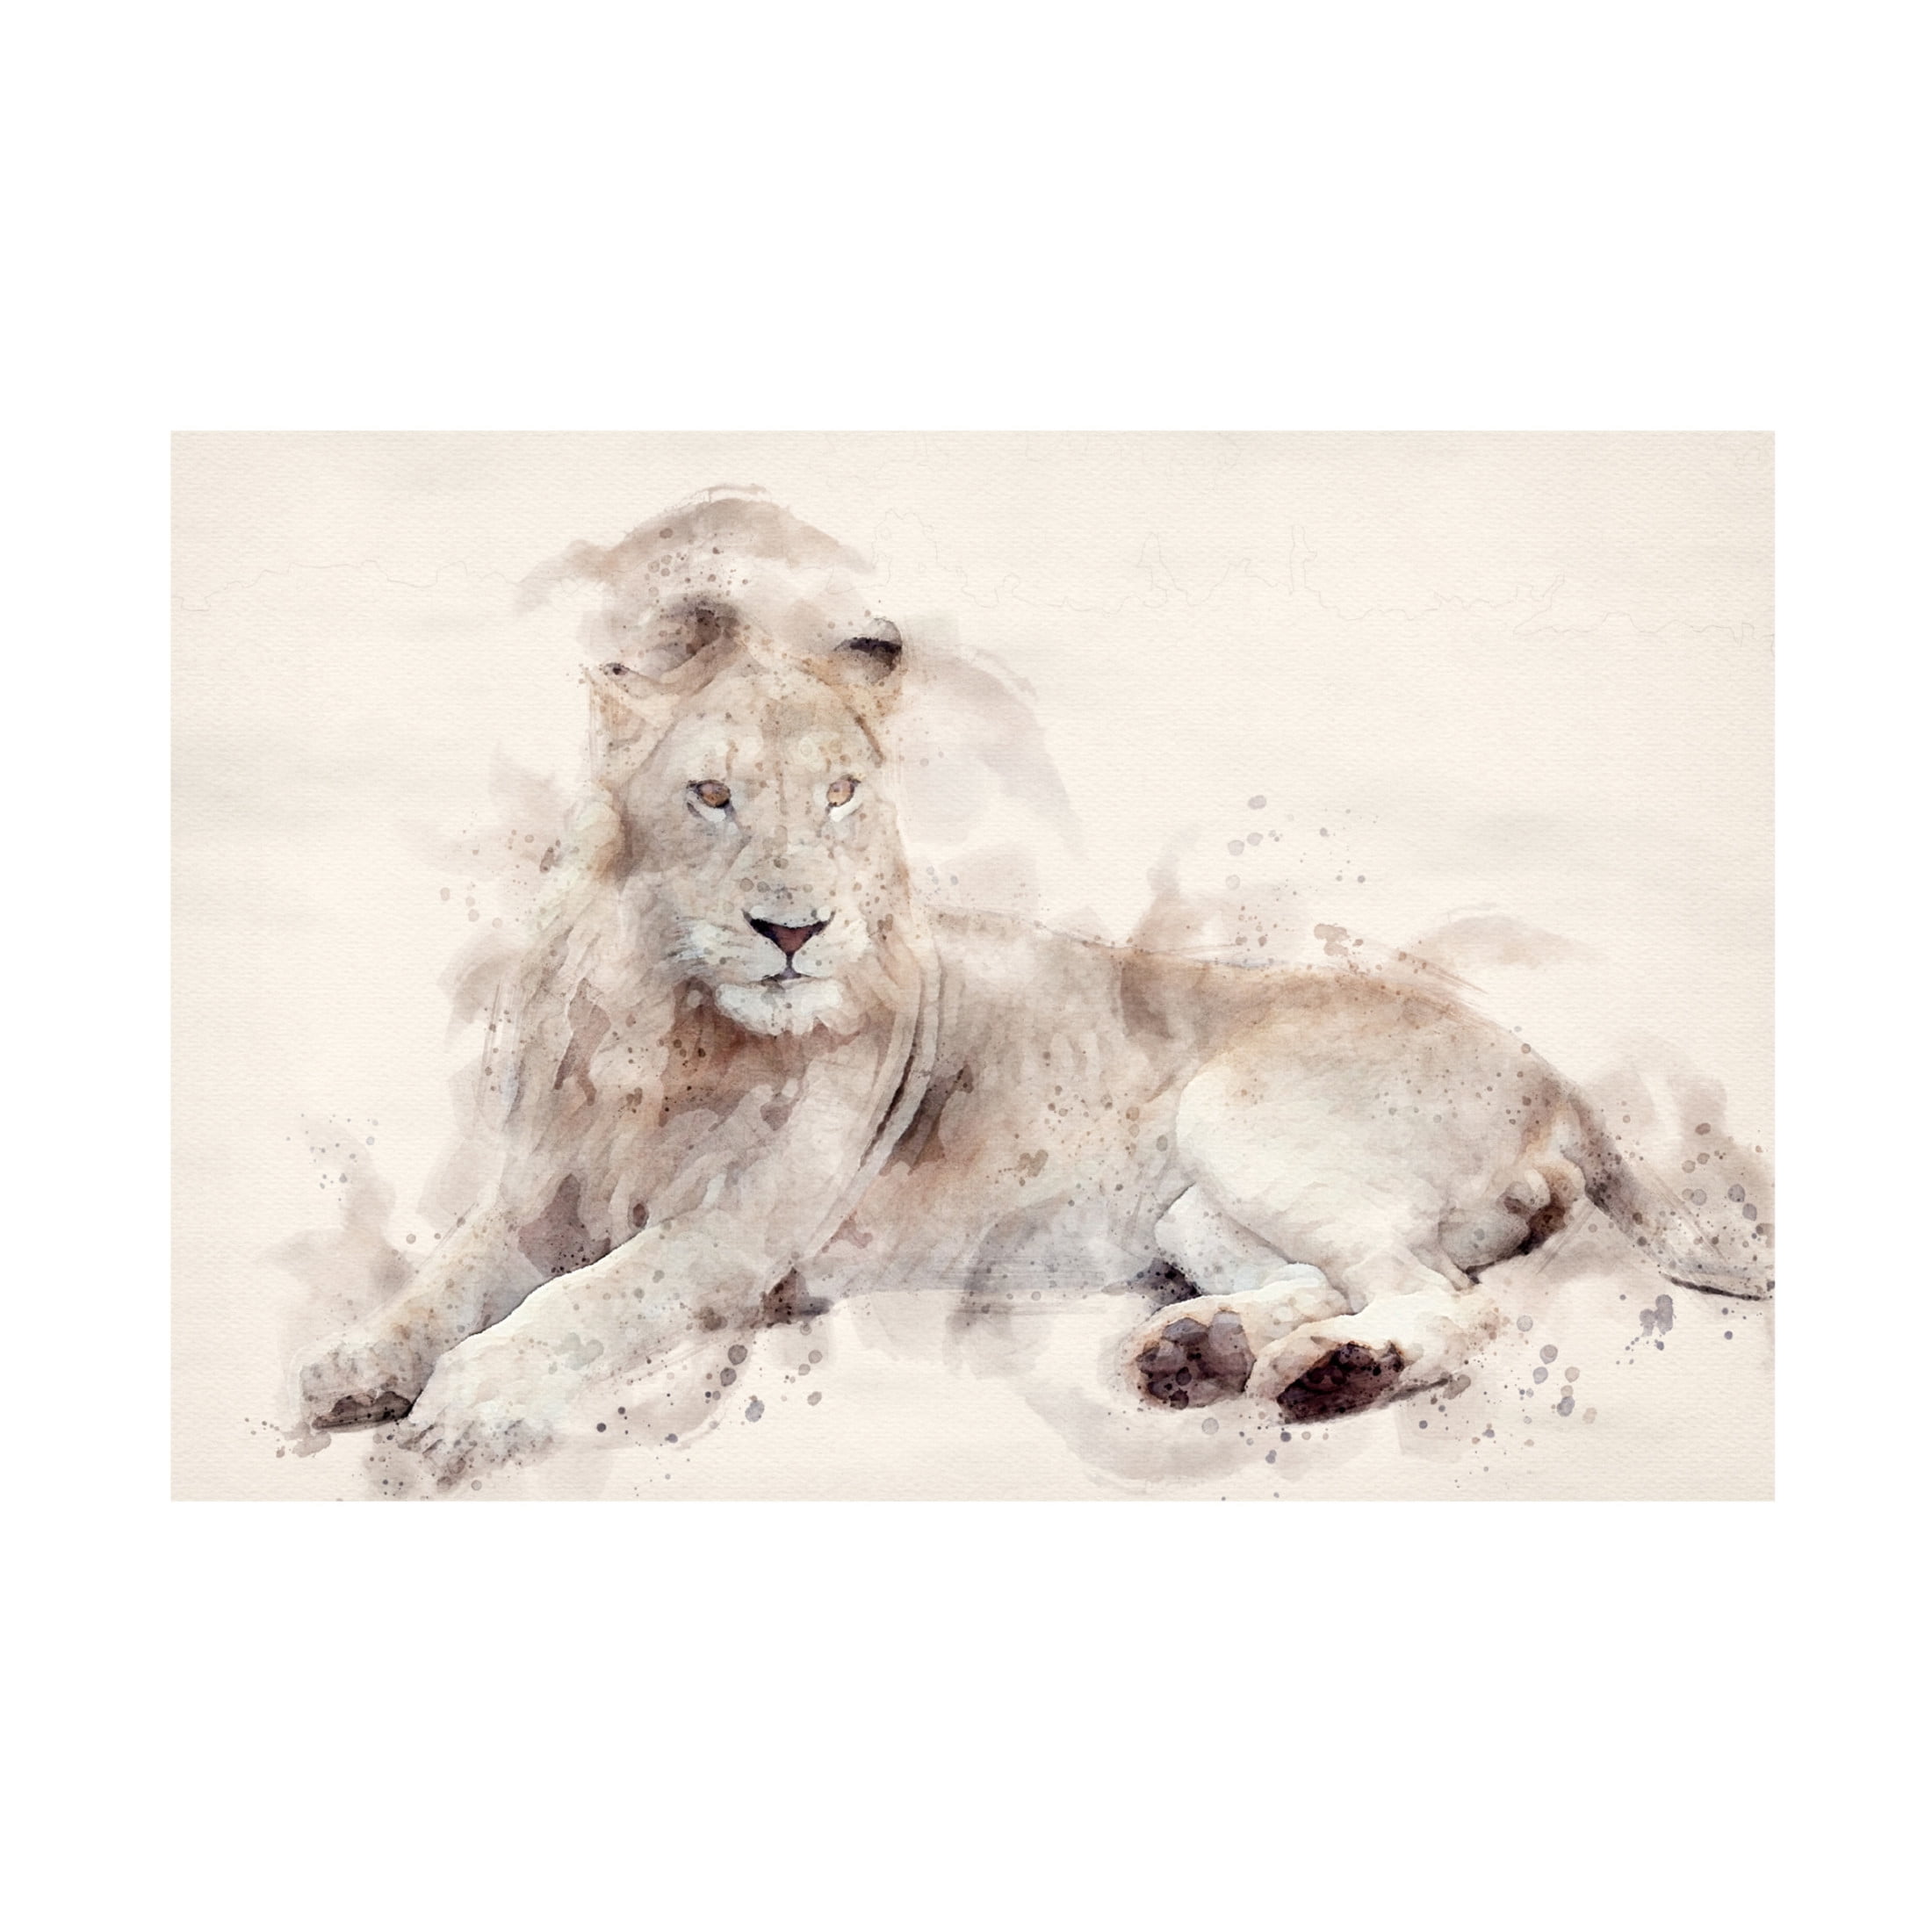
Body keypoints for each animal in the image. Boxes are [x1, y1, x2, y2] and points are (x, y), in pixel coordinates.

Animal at [291, 490, 1770, 1485]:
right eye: (711, 796)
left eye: (841, 795)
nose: (796, 929)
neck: (664, 1022)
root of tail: (1550, 1071)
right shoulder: (539, 1197)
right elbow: (447, 1280)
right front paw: (355, 1366)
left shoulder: (732, 1240)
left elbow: (581, 1304)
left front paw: (462, 1406)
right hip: (1202, 1207)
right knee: (1333, 1277)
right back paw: (1201, 1354)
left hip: (1246, 1121)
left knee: (1448, 1299)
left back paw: (1330, 1380)